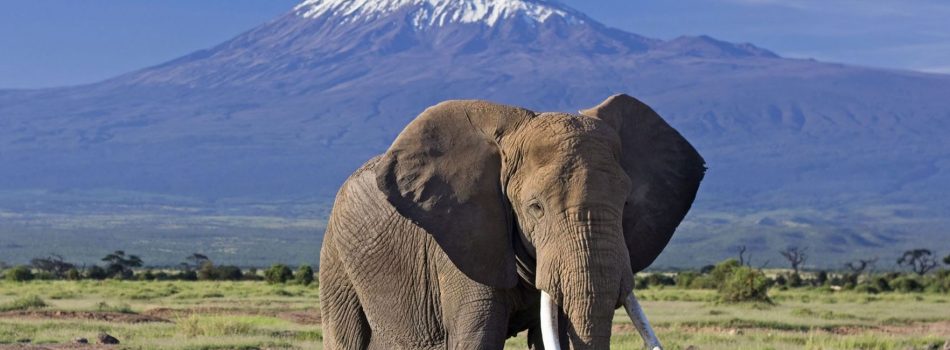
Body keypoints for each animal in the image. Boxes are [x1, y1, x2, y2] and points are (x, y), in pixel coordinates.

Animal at [320, 94, 708, 348]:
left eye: (625, 204)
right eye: (535, 208)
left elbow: (554, 333)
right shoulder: (463, 243)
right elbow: (479, 338)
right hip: (335, 257)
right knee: (345, 334)